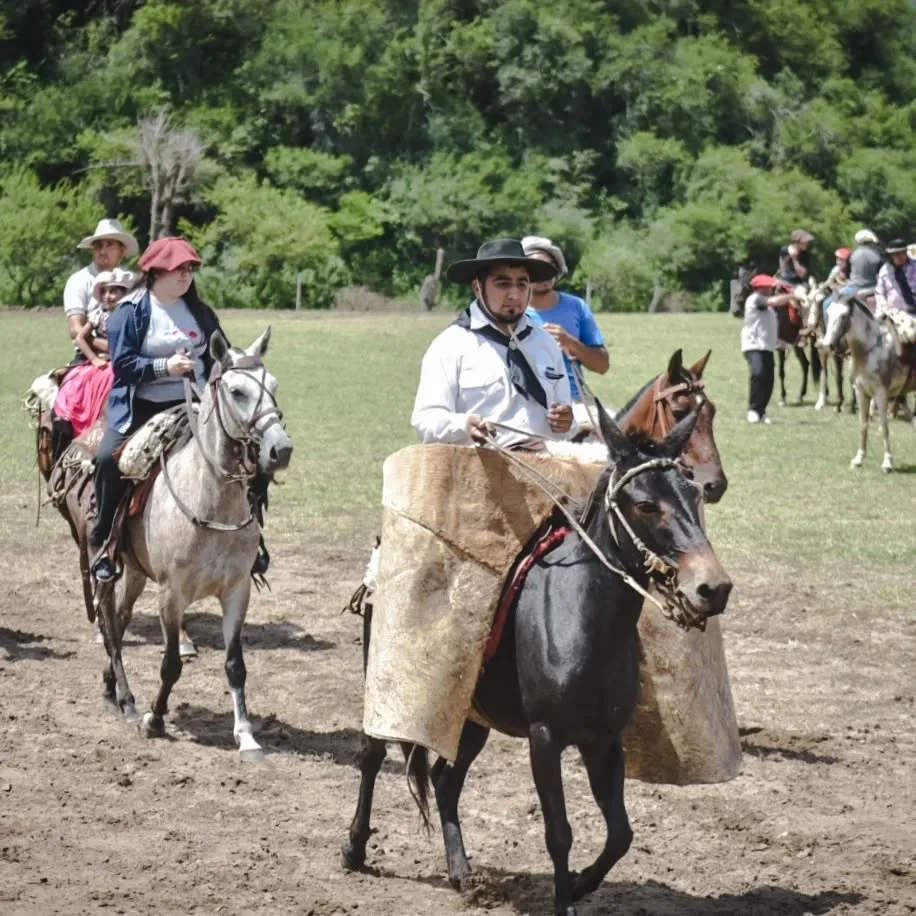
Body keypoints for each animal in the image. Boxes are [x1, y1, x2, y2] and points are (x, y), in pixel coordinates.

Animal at [91, 326, 288, 756]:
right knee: (110, 627)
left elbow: (235, 665)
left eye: (274, 386)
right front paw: (154, 719)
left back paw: (110, 684)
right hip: (105, 568)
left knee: (122, 618)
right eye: (237, 391)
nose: (281, 449)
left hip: (136, 571)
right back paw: (126, 698)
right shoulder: (172, 594)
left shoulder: (237, 592)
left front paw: (245, 733)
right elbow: (171, 665)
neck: (212, 504)